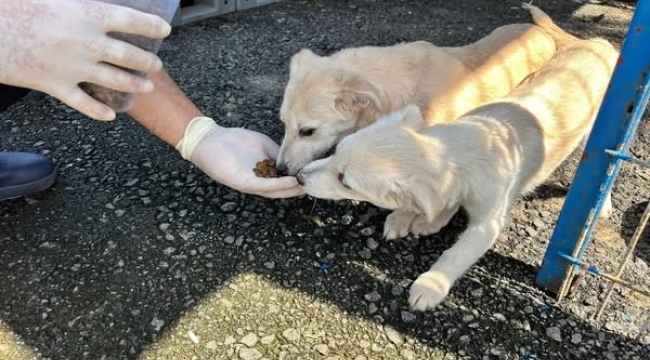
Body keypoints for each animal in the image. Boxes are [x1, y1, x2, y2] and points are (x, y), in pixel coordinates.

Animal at [296, 37, 616, 312]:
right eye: (337, 150)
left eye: (345, 181)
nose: (298, 177)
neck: (464, 147)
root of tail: (600, 43)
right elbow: (442, 202)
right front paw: (431, 220)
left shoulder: (490, 221)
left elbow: (457, 252)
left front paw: (430, 286)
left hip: (595, 138)